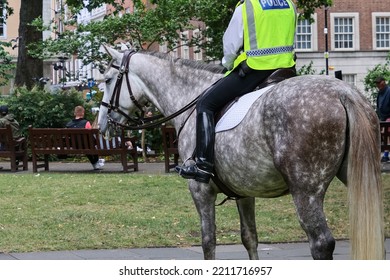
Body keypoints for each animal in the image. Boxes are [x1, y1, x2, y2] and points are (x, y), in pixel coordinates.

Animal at [97, 46, 384, 260]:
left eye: (108, 80)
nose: (101, 122)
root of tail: (343, 91)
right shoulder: (245, 192)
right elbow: (250, 239)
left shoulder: (201, 191)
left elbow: (208, 241)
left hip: (306, 190)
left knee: (321, 243)